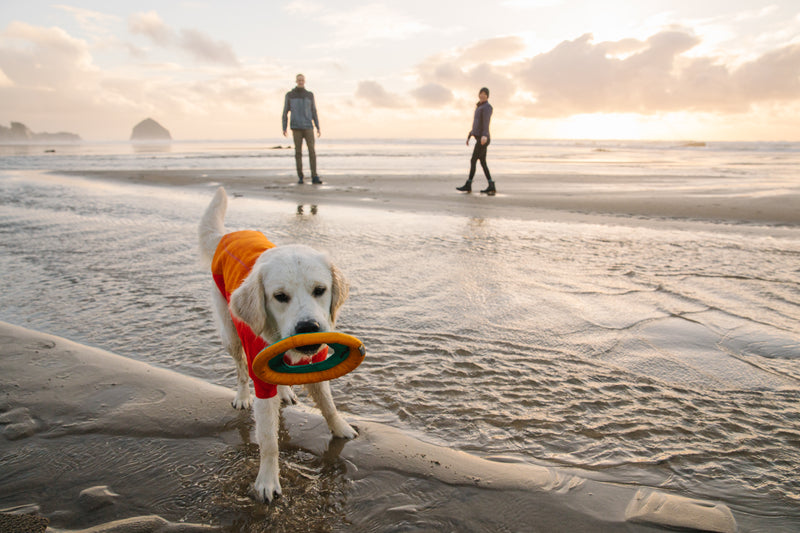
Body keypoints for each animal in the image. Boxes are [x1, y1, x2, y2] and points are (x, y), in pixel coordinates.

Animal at [198, 186, 356, 498]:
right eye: (280, 297)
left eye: (320, 290)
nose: (308, 328)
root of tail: (227, 236)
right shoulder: (262, 378)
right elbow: (269, 439)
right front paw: (267, 480)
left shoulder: (318, 362)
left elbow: (328, 404)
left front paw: (341, 427)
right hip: (230, 334)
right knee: (240, 369)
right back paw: (242, 396)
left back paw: (285, 393)